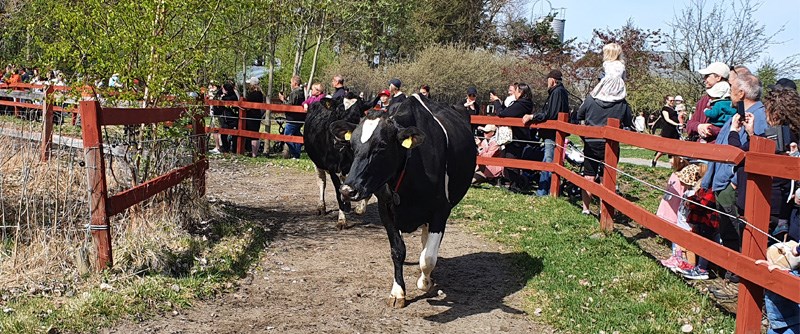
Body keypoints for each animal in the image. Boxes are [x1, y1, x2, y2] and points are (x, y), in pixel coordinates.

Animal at [304, 95, 372, 228]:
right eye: (337, 113)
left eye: (357, 114)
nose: (340, 139)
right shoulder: (333, 168)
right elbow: (337, 192)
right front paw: (342, 220)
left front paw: (359, 209)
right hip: (317, 162)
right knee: (322, 182)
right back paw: (321, 207)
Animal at [330, 94, 476, 308]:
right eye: (352, 146)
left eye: (381, 146)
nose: (347, 190)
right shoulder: (386, 209)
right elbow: (398, 251)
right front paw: (398, 292)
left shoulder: (441, 211)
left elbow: (428, 258)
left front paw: (425, 282)